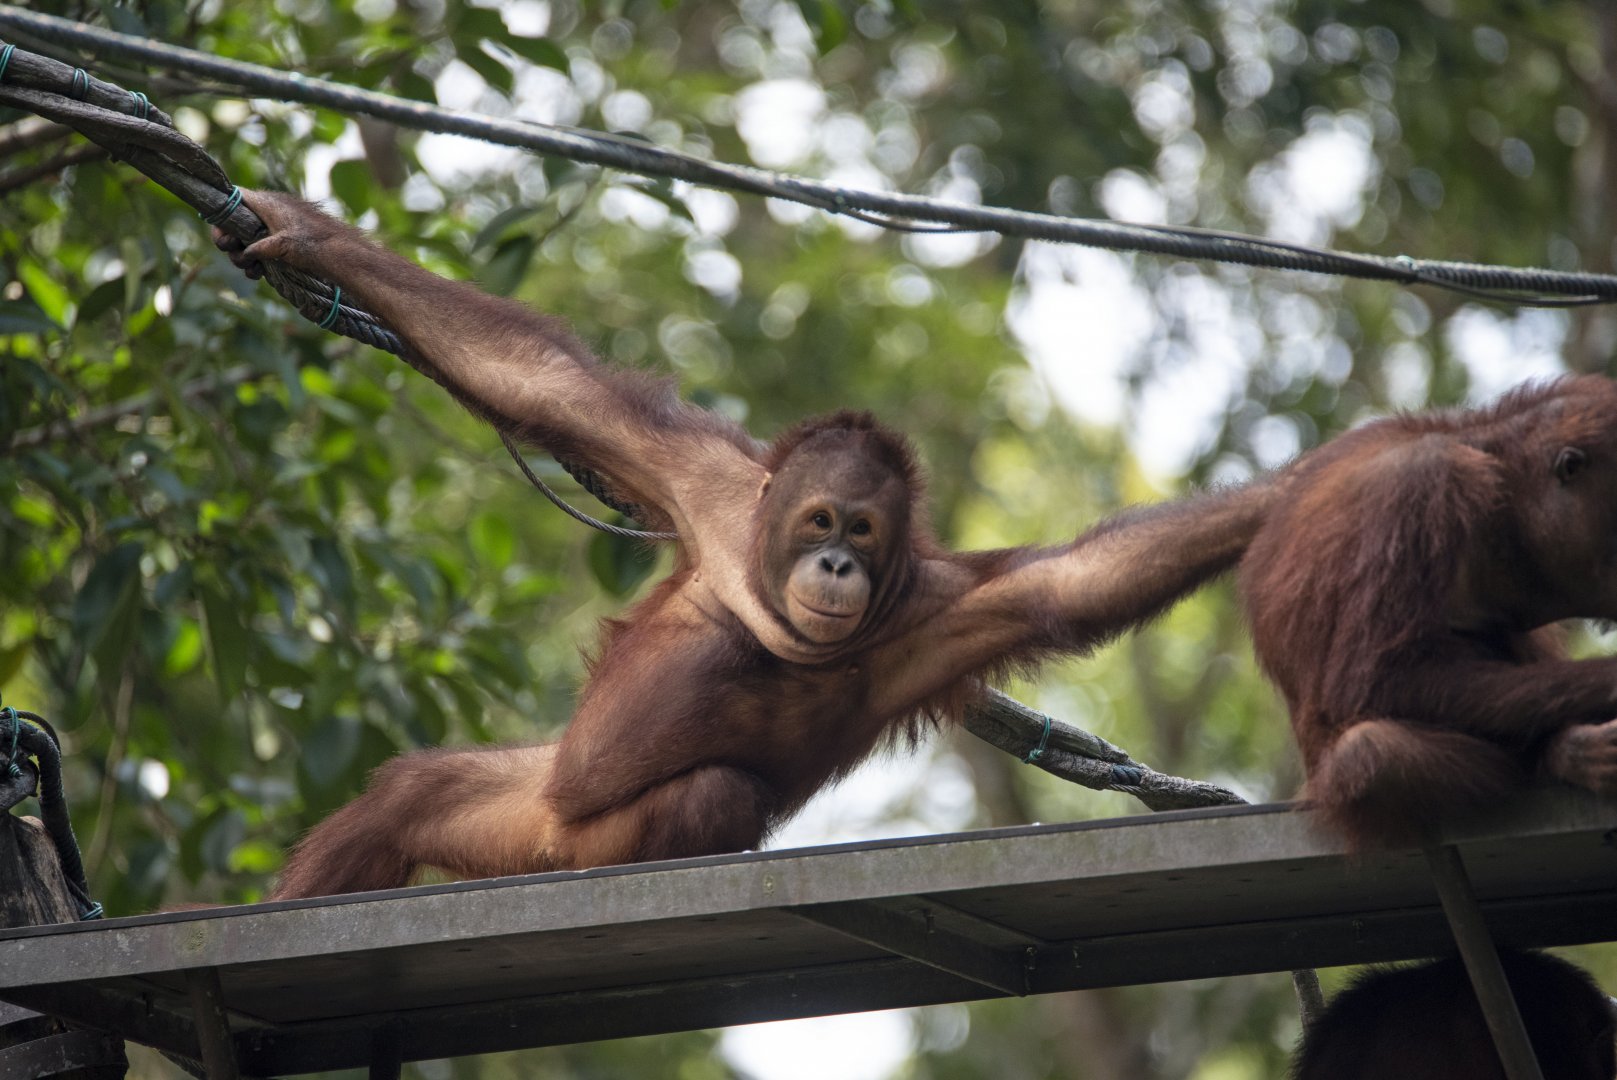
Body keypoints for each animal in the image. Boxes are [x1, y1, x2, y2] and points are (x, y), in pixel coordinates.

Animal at [212, 190, 1282, 898]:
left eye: (862, 530)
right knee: (412, 792)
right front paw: (300, 230)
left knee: (710, 799)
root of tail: (545, 847)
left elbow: (1075, 584)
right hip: (525, 804)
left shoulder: (944, 606)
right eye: (818, 522)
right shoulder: (708, 485)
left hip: (577, 844)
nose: (836, 563)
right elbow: (542, 381)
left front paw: (1290, 490)